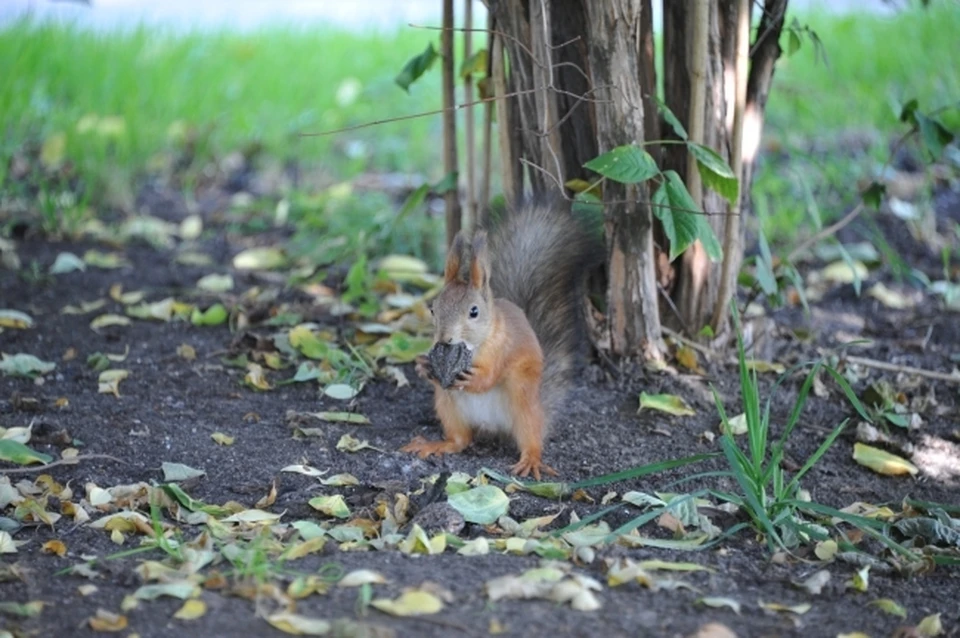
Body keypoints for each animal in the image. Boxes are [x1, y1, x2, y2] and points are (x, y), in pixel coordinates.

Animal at [404, 195, 600, 480]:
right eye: (433, 308)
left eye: (473, 312)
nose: (445, 338)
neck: (475, 344)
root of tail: (492, 427)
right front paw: (423, 365)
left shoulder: (504, 349)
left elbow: (490, 376)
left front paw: (475, 378)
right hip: (448, 404)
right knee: (460, 440)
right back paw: (436, 444)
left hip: (523, 406)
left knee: (531, 436)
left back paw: (531, 460)